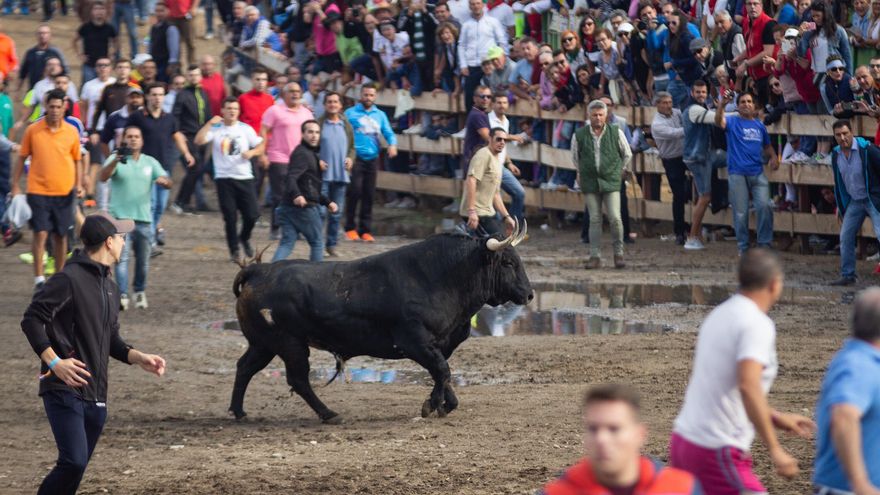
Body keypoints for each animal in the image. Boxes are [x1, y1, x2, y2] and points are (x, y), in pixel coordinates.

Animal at [229, 232, 528, 422]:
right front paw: (431, 405)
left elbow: (442, 374)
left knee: (245, 367)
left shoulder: (435, 345)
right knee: (298, 379)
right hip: (290, 344)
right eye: (508, 262)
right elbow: (442, 371)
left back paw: (238, 411)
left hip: (263, 344)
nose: (528, 293)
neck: (439, 277)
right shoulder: (415, 342)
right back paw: (329, 414)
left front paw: (445, 404)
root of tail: (259, 271)